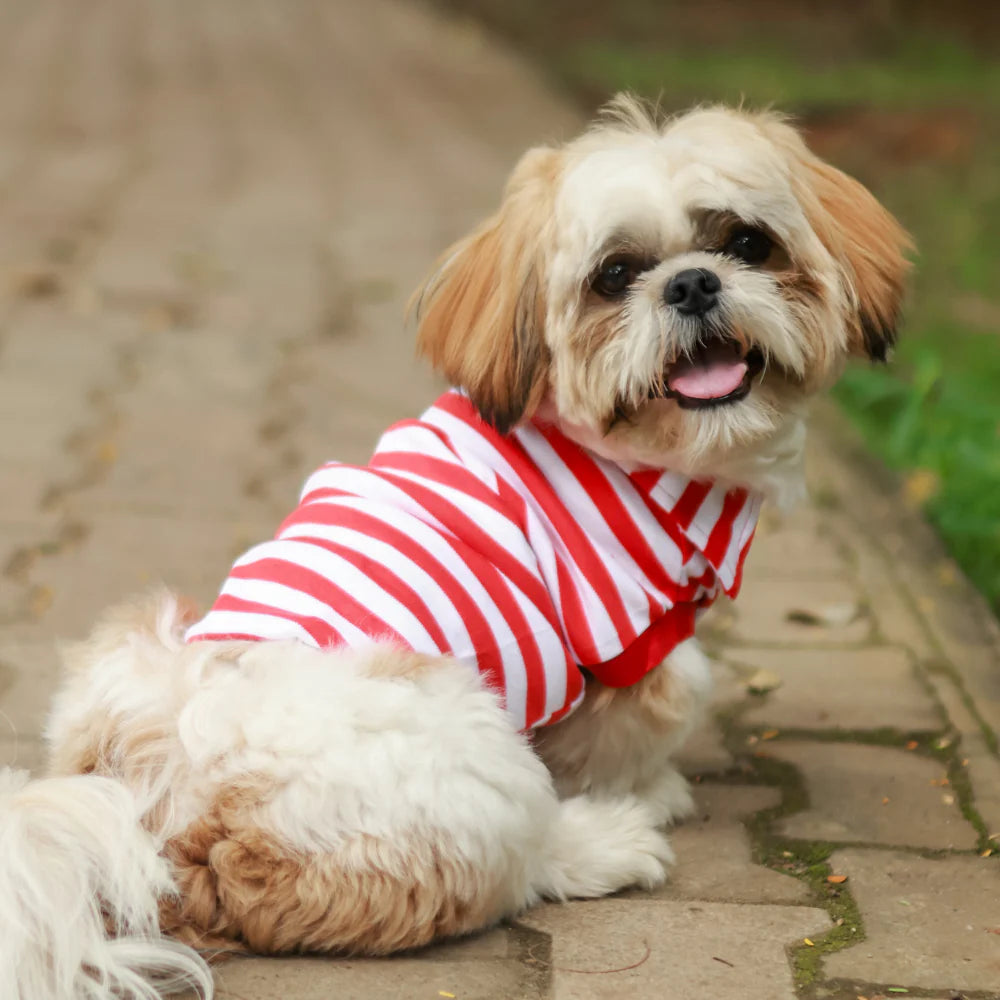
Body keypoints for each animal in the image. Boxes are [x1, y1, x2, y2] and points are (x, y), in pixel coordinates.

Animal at [0, 95, 912, 1000]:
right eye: (615, 275)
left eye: (748, 244)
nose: (691, 282)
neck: (646, 456)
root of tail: (159, 796)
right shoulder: (631, 637)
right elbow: (642, 722)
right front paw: (647, 790)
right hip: (473, 749)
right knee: (521, 865)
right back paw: (603, 843)